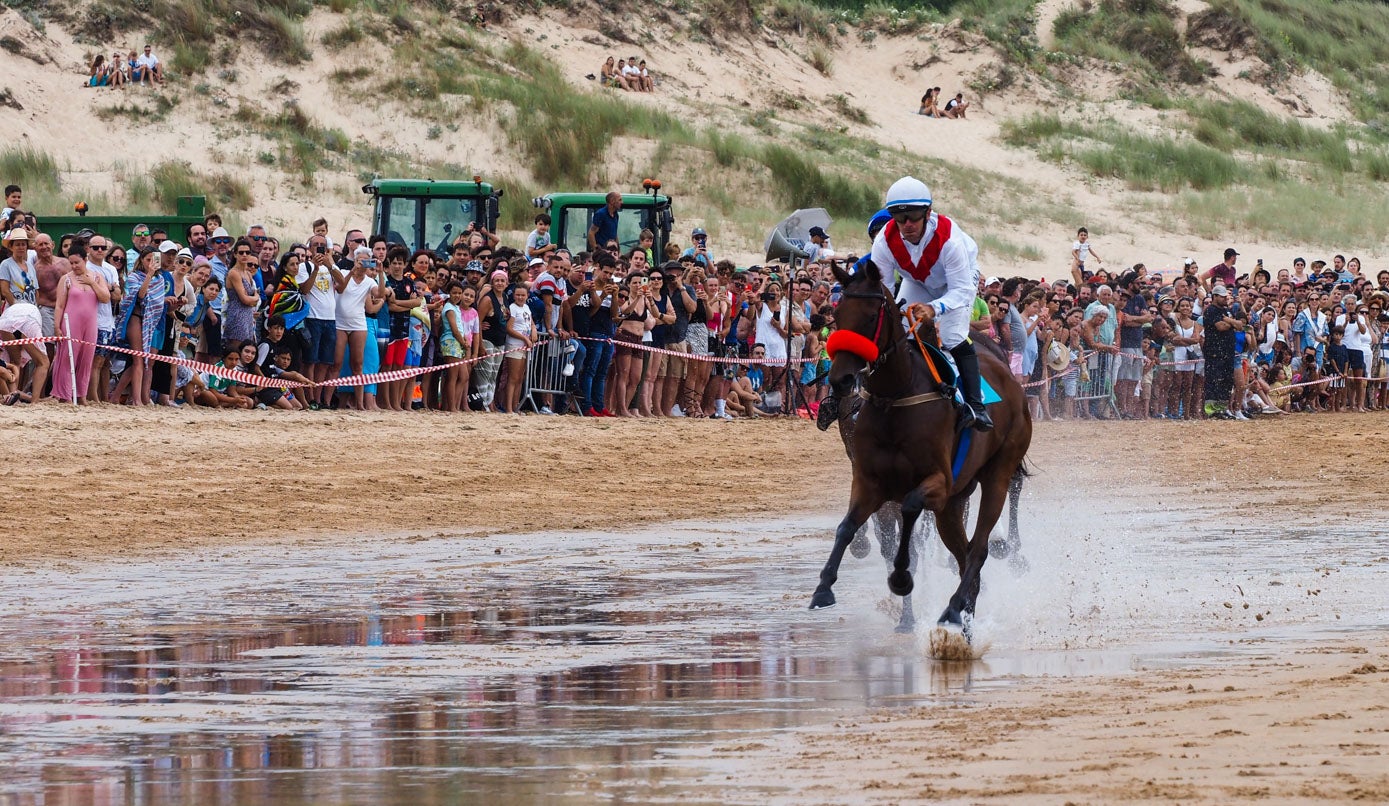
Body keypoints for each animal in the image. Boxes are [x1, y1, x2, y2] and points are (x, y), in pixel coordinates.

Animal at [805, 259, 1033, 636]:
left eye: (871, 316)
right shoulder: (870, 480)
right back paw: (963, 616)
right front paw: (824, 587)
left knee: (980, 544)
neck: (896, 396)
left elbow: (910, 525)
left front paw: (902, 584)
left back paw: (962, 599)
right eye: (836, 315)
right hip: (954, 500)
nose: (841, 379)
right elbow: (849, 527)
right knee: (964, 554)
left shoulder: (934, 483)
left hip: (996, 474)